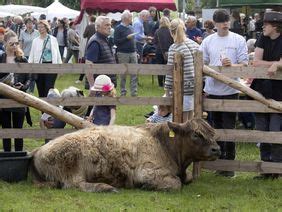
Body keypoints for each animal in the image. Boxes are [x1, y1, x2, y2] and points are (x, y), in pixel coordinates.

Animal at [30, 118, 220, 193]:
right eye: (196, 134)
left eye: (212, 133)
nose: (217, 149)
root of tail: (38, 150)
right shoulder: (148, 171)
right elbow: (175, 183)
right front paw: (148, 186)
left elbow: (187, 178)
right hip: (73, 169)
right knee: (75, 185)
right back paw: (105, 187)